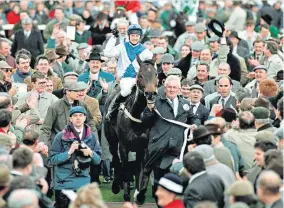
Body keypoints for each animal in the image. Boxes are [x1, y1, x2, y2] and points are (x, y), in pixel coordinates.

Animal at [103, 57, 158, 202]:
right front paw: (127, 193)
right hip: (112, 141)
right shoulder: (124, 146)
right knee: (116, 160)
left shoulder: (144, 147)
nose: (150, 94)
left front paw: (140, 193)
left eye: (156, 74)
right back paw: (116, 185)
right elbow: (126, 168)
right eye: (140, 75)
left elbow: (143, 171)